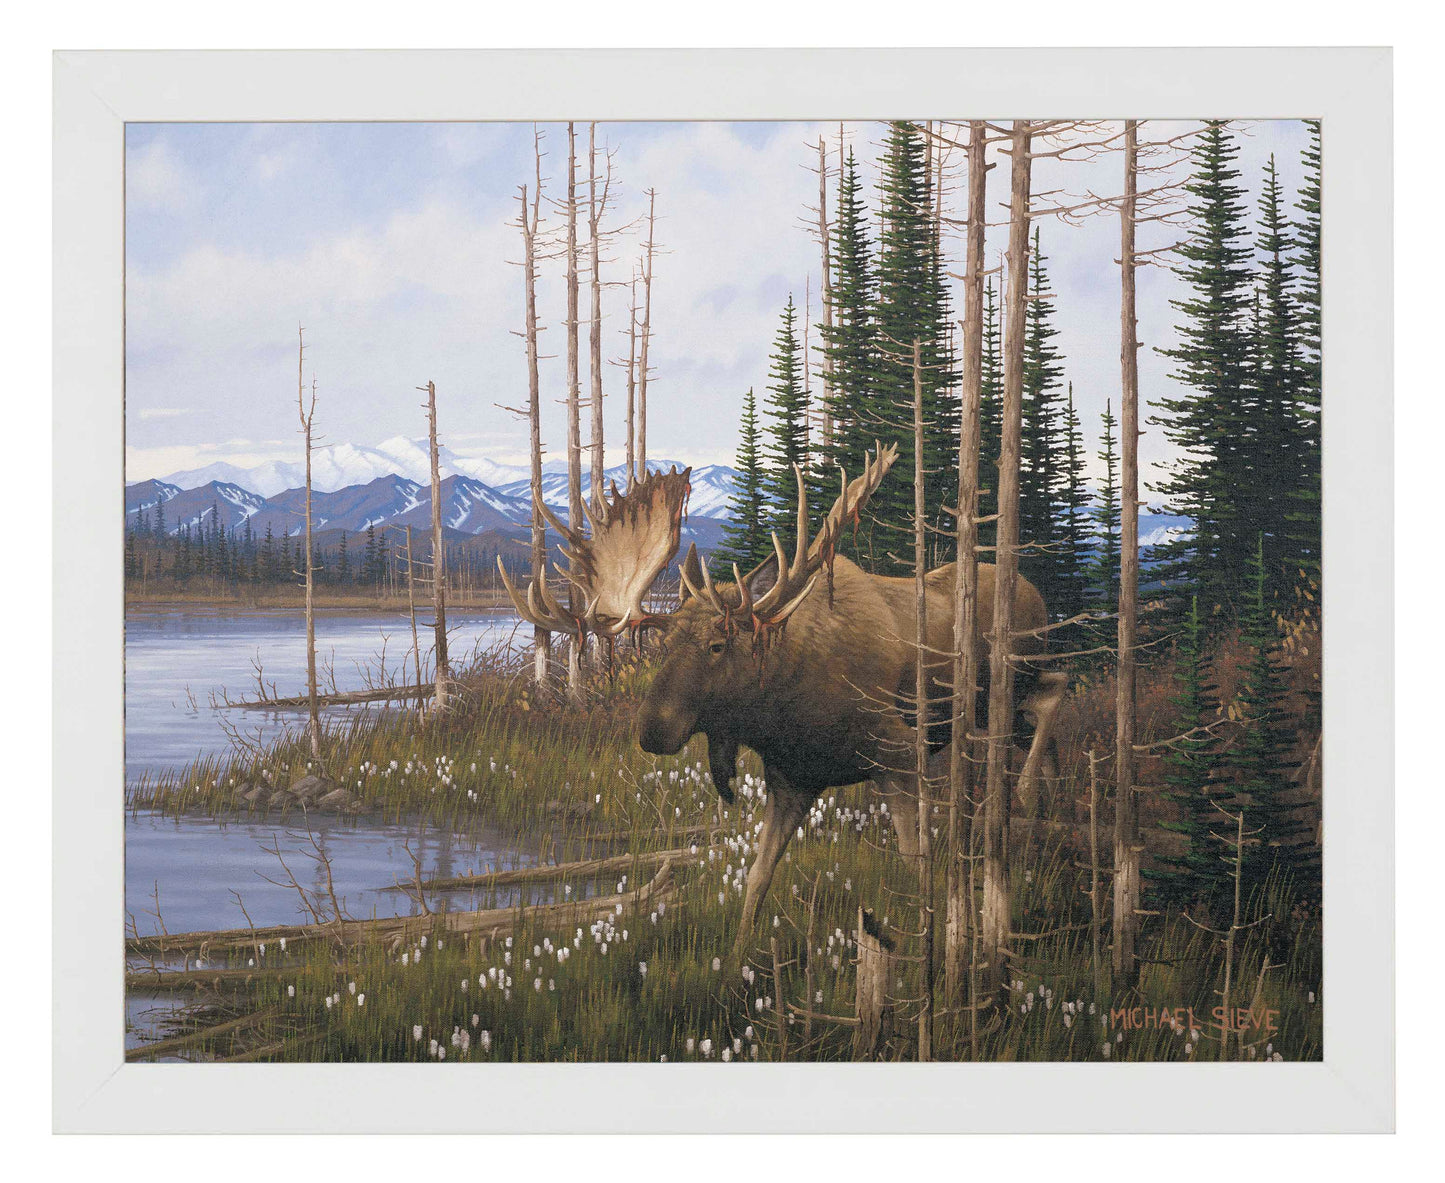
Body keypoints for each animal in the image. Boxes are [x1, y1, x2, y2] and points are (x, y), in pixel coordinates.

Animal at [499, 446, 1066, 959]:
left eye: (717, 645)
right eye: (663, 644)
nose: (651, 730)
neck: (786, 712)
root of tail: (1036, 590)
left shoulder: (900, 753)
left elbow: (915, 862)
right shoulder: (792, 780)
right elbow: (757, 876)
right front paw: (736, 959)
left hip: (1011, 679)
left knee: (1056, 692)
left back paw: (1028, 794)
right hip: (994, 708)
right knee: (1048, 715)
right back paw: (1046, 811)